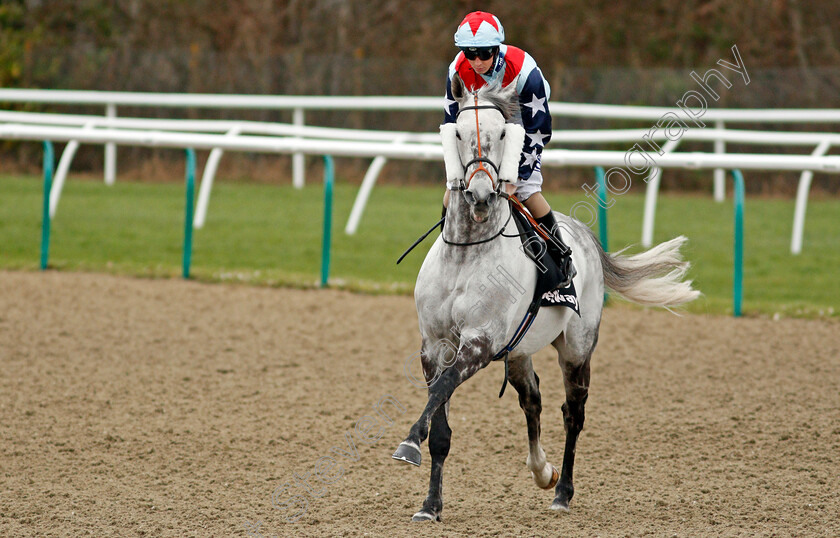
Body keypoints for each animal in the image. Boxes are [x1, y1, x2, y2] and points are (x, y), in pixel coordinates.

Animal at [394, 76, 704, 520]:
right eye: (457, 134)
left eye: (503, 134)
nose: (481, 196)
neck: (467, 254)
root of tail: (586, 236)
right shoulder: (434, 345)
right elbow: (441, 422)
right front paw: (430, 505)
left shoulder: (480, 342)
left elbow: (441, 393)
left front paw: (408, 446)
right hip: (519, 350)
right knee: (533, 400)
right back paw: (543, 471)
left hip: (576, 347)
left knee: (573, 413)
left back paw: (562, 492)